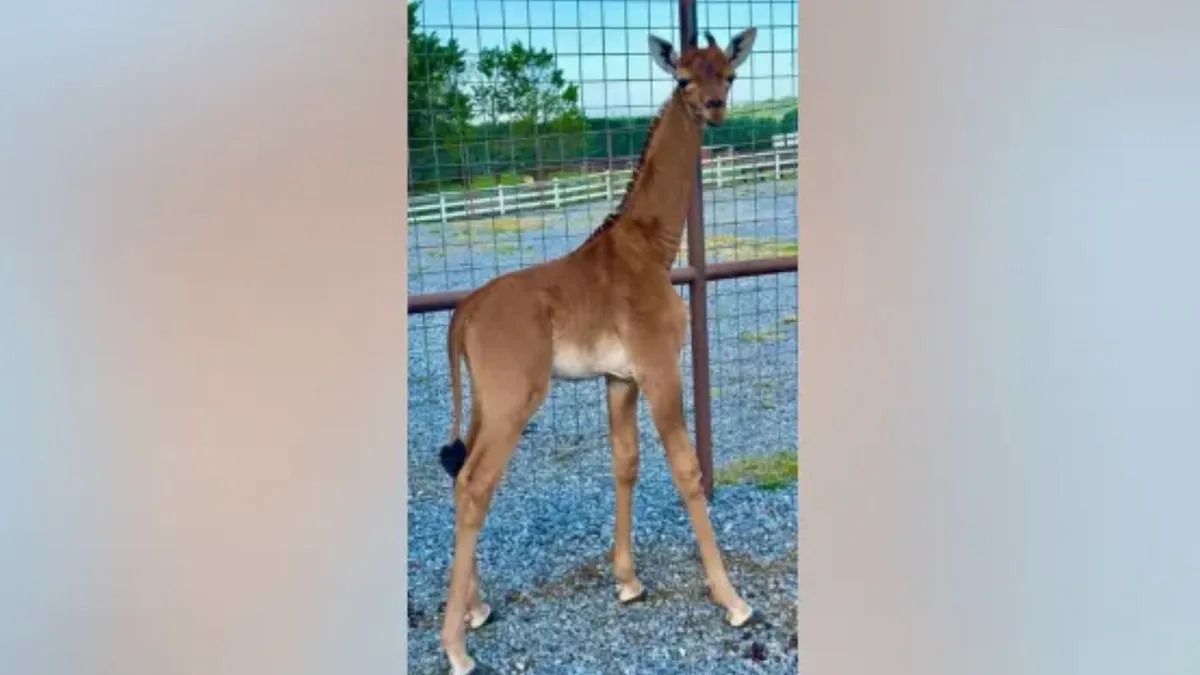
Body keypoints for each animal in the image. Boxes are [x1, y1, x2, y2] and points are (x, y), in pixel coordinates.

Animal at [436, 27, 758, 672]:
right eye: (683, 78)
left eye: (729, 74)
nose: (715, 108)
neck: (653, 247)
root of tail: (462, 315)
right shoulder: (660, 367)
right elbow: (686, 468)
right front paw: (732, 599)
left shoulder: (620, 378)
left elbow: (625, 462)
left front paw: (628, 581)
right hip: (514, 399)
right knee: (475, 484)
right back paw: (456, 647)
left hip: (485, 400)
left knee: (460, 476)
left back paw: (477, 609)